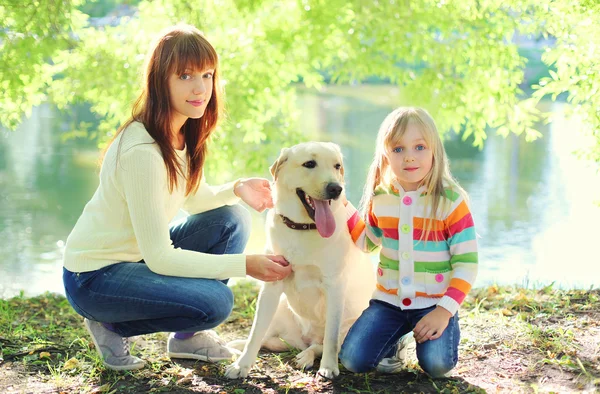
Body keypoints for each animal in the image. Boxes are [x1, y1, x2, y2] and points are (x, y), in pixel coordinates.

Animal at [225, 142, 376, 378]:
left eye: (337, 166)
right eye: (309, 164)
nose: (336, 189)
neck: (303, 228)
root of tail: (304, 339)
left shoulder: (334, 286)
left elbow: (330, 338)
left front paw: (328, 367)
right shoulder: (272, 283)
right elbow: (255, 333)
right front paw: (242, 365)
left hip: (350, 326)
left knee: (320, 345)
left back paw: (307, 356)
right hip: (280, 309)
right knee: (268, 338)